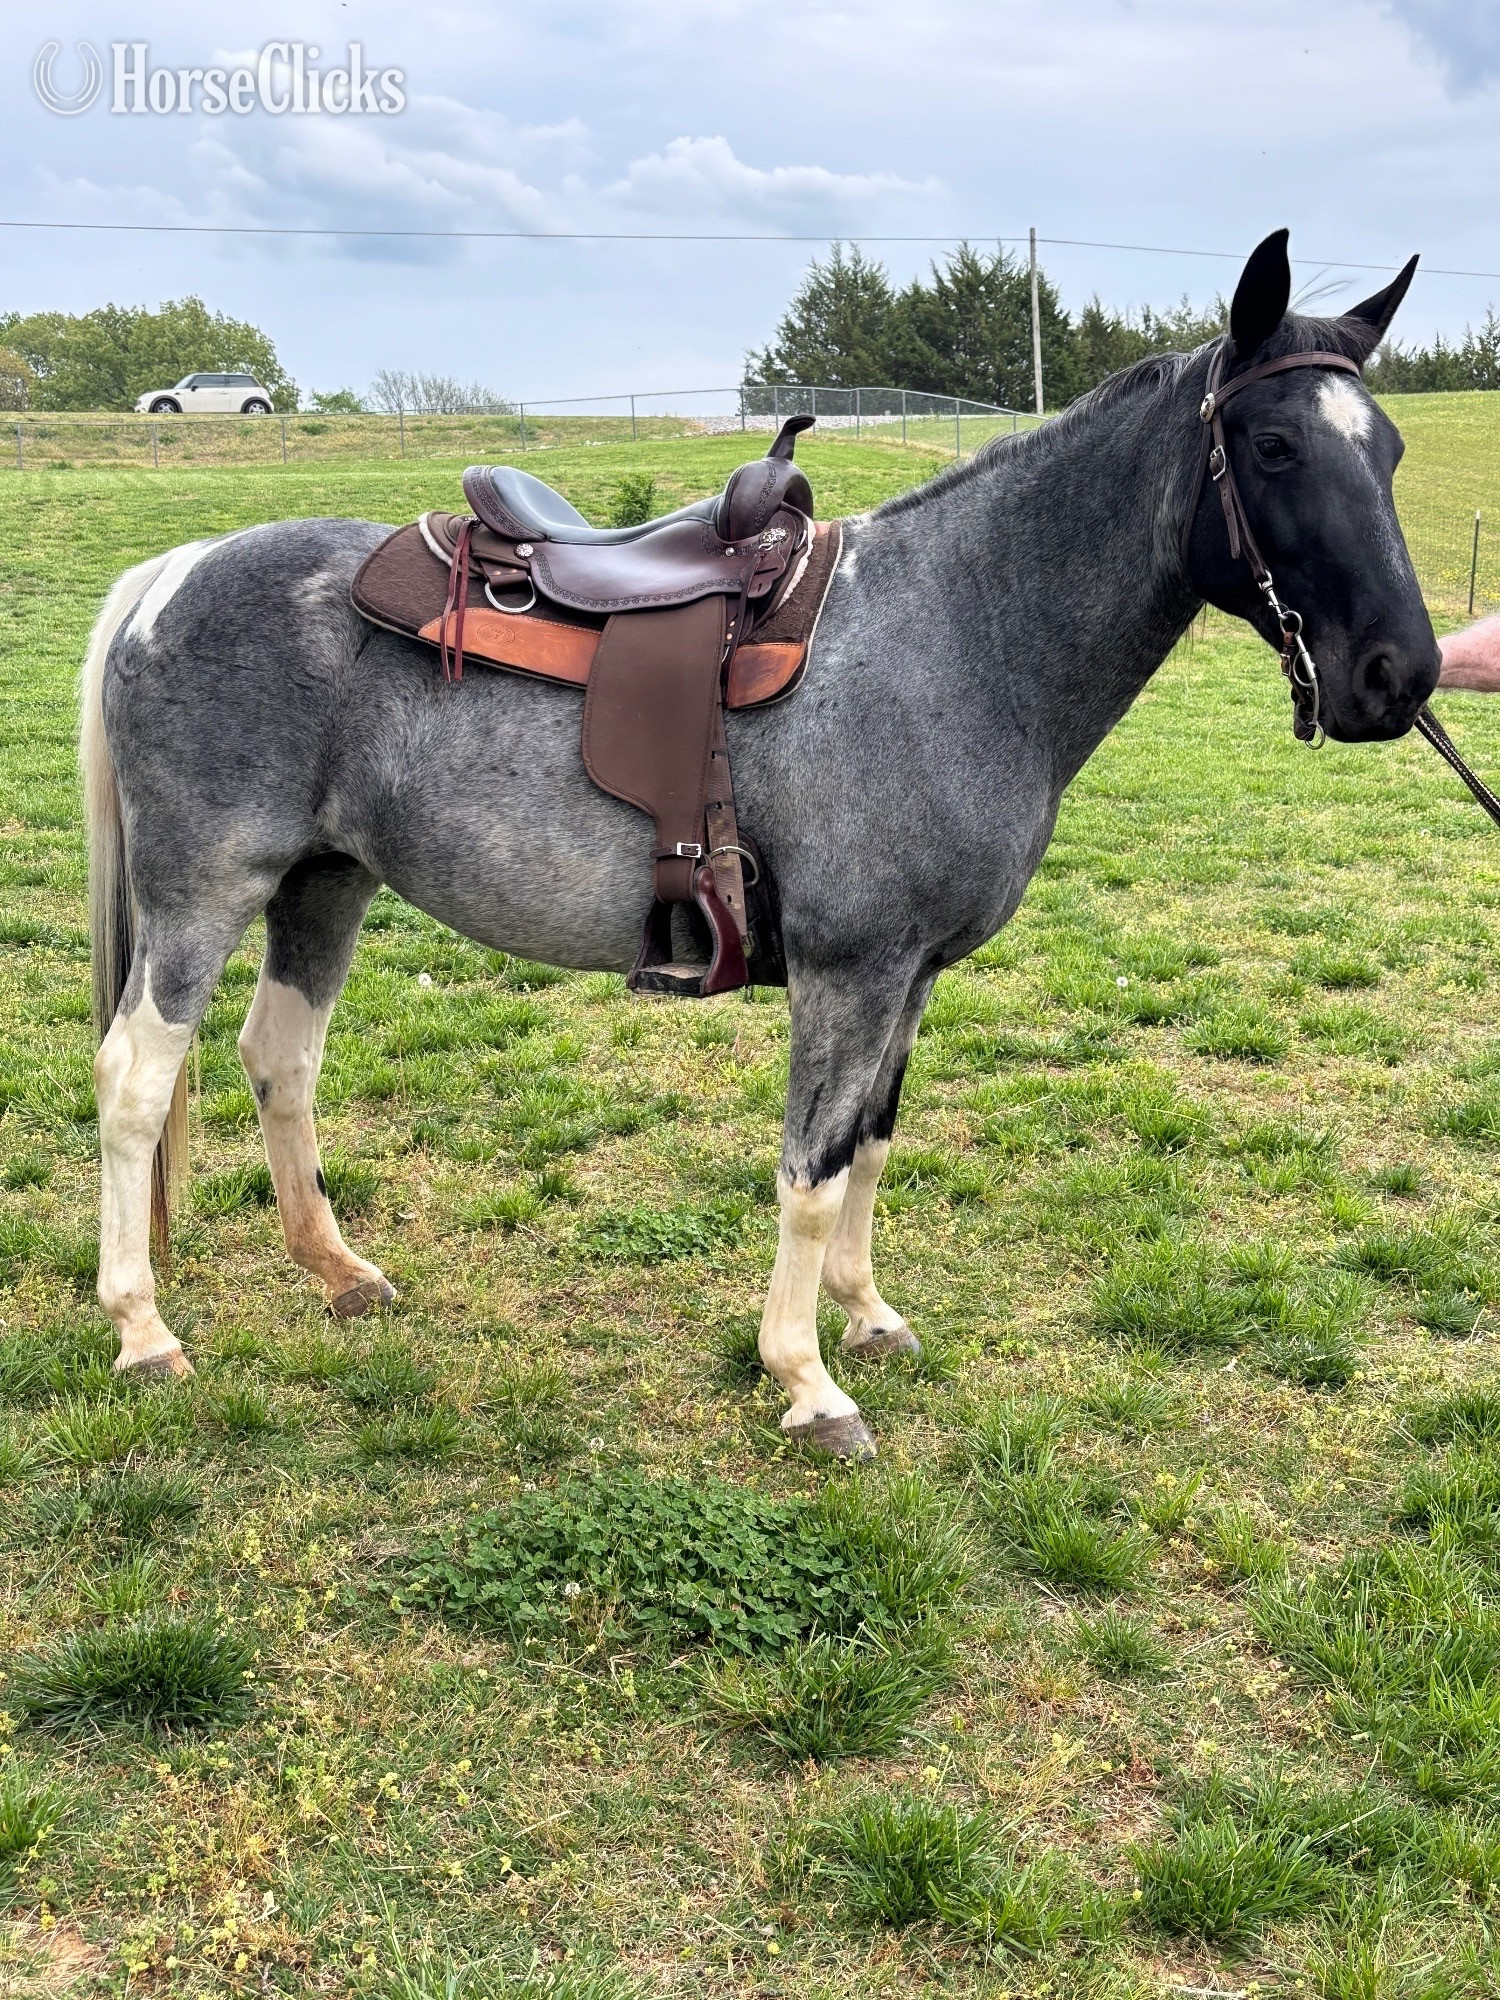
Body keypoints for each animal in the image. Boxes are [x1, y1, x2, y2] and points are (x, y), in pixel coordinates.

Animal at [80, 229, 1439, 1458]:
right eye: (1272, 445)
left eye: (1388, 449)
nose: (1399, 676)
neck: (961, 634)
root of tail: (172, 573)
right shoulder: (850, 973)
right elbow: (810, 1173)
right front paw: (807, 1380)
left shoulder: (910, 977)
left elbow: (872, 1144)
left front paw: (867, 1315)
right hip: (205, 892)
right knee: (137, 1077)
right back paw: (141, 1330)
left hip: (322, 883)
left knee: (278, 1058)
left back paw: (339, 1269)